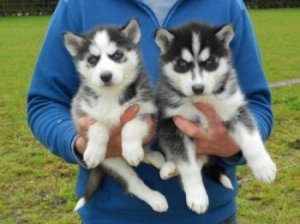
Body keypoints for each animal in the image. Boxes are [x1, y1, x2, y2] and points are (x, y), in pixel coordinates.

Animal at [63, 18, 168, 212]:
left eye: (117, 55)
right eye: (92, 59)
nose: (105, 76)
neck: (111, 95)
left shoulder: (146, 109)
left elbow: (131, 126)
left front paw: (132, 150)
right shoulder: (80, 111)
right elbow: (98, 127)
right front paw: (94, 152)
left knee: (144, 154)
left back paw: (152, 157)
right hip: (114, 163)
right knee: (133, 183)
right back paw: (155, 197)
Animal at [155, 21, 276, 214]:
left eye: (210, 62)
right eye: (182, 63)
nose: (198, 88)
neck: (201, 100)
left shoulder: (234, 109)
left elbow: (251, 138)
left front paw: (263, 166)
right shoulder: (173, 123)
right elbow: (188, 165)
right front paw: (197, 195)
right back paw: (170, 166)